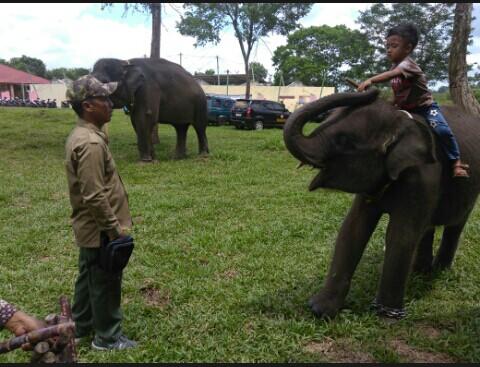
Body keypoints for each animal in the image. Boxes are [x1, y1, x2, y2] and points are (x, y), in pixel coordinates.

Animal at [284, 88, 480, 320]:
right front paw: (319, 310)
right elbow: (353, 228)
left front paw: (387, 317)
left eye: (343, 140)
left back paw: (439, 271)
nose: (373, 90)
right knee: (427, 227)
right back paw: (420, 271)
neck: (400, 123)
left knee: (455, 225)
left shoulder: (423, 178)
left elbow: (400, 235)